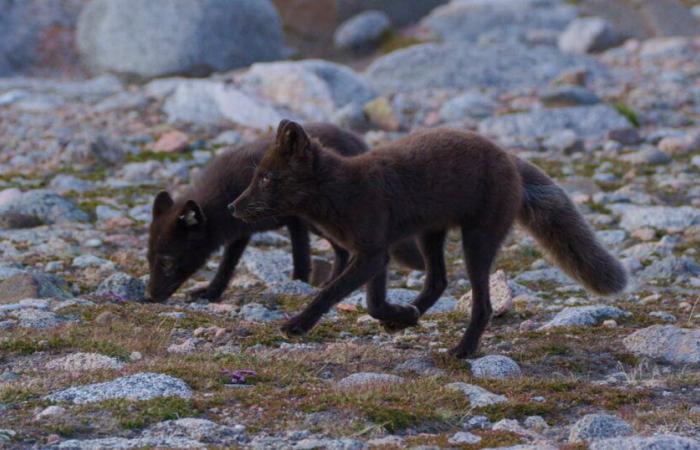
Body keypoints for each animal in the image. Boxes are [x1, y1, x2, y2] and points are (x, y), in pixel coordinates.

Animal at [146, 124, 422, 302]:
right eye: (149, 260)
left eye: (167, 261)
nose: (150, 297)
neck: (228, 193)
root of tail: (356, 139)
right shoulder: (243, 231)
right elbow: (227, 266)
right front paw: (211, 293)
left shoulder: (293, 222)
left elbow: (300, 261)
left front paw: (295, 286)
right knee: (342, 251)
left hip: (322, 224)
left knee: (345, 250)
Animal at [231, 120, 628, 358]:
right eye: (255, 177)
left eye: (266, 179)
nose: (233, 207)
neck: (341, 191)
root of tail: (508, 157)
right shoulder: (378, 255)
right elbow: (373, 303)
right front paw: (399, 314)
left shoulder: (371, 254)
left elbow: (329, 292)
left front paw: (297, 325)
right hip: (430, 235)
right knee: (438, 281)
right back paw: (407, 318)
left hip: (476, 242)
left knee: (481, 304)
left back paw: (462, 350)